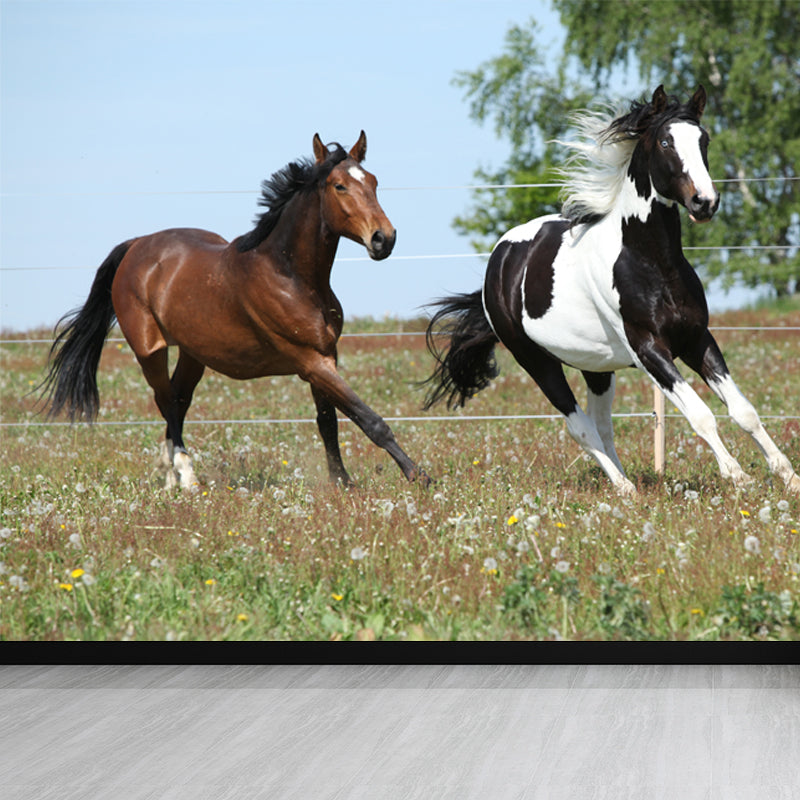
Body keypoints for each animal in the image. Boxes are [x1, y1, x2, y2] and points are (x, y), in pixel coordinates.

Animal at [39, 132, 429, 489]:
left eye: (373, 182)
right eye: (339, 186)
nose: (384, 238)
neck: (292, 277)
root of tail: (136, 246)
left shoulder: (325, 355)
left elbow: (328, 422)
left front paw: (342, 483)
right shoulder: (309, 360)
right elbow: (368, 419)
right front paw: (419, 476)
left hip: (193, 354)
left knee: (177, 400)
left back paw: (170, 476)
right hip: (149, 349)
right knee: (166, 400)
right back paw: (186, 475)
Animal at [424, 86, 799, 496]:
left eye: (704, 139)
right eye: (666, 141)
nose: (705, 202)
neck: (651, 263)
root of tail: (500, 260)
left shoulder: (696, 339)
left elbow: (743, 410)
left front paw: (788, 475)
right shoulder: (649, 350)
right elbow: (701, 415)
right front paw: (737, 476)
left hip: (596, 367)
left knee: (602, 425)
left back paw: (627, 486)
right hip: (536, 361)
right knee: (580, 426)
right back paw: (624, 487)